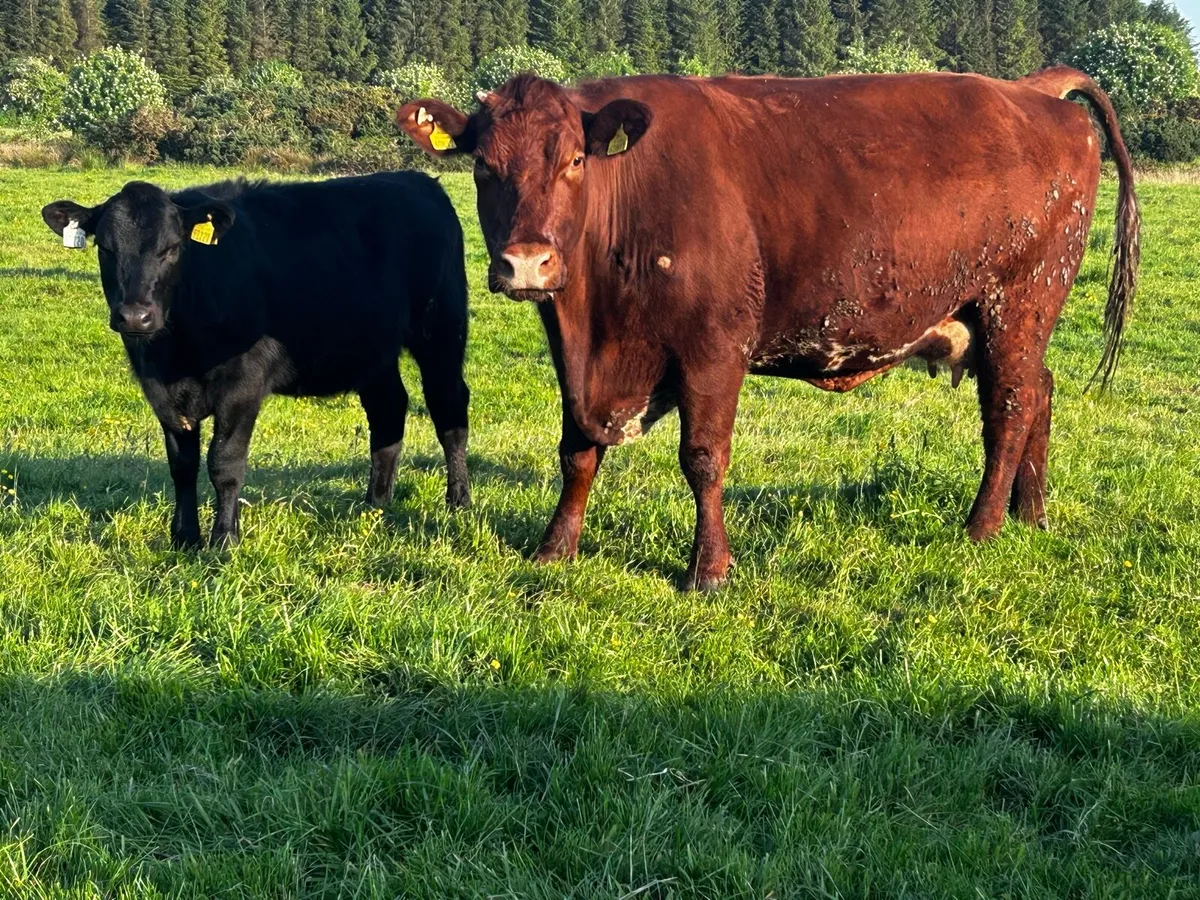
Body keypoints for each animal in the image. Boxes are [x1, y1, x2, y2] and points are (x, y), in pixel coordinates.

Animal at [41, 173, 471, 549]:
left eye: (173, 248)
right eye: (105, 248)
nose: (135, 316)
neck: (177, 349)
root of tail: (418, 180)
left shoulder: (243, 384)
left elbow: (224, 463)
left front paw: (223, 541)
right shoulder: (162, 392)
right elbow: (182, 465)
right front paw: (184, 538)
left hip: (441, 331)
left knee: (449, 409)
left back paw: (458, 502)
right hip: (373, 350)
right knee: (388, 410)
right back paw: (375, 503)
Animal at [397, 66, 1139, 591]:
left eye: (574, 161)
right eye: (483, 165)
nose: (526, 262)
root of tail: (1030, 92)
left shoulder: (713, 348)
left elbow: (703, 458)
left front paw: (708, 571)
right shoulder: (574, 355)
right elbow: (577, 451)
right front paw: (555, 549)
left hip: (1019, 301)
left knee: (1010, 408)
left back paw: (982, 526)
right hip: (1004, 320)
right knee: (1039, 392)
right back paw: (1030, 514)